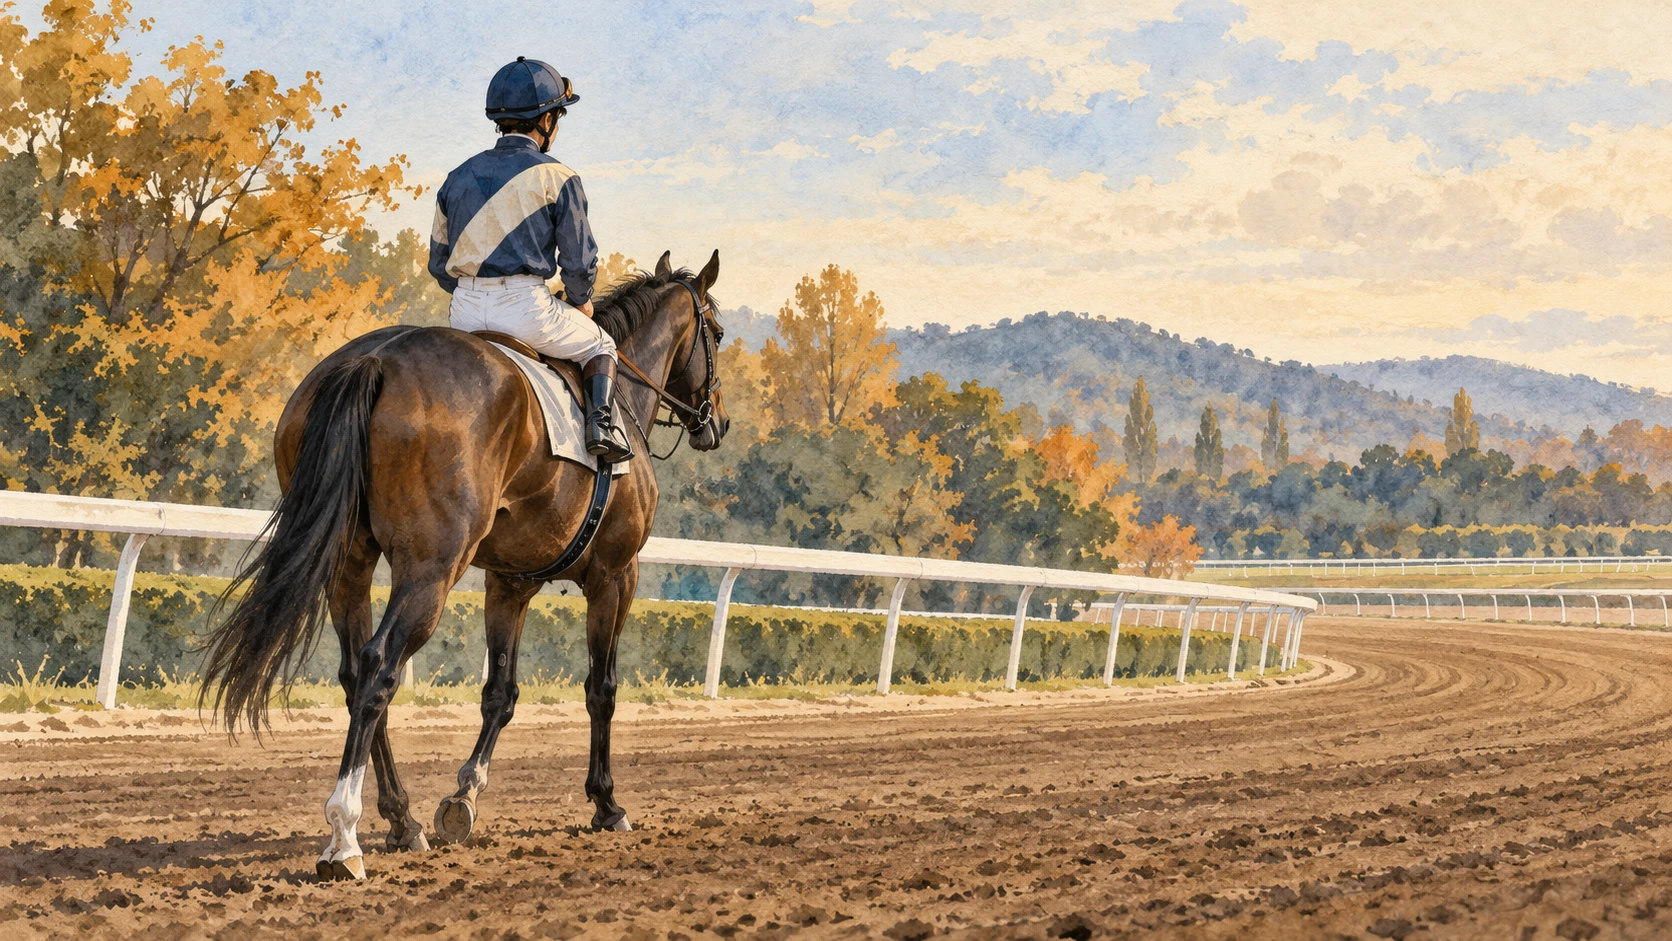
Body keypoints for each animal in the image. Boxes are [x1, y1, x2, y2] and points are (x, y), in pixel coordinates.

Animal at [198, 251, 728, 881]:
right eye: (718, 333)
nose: (717, 422)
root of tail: (374, 358)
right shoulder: (616, 574)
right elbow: (602, 688)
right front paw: (607, 804)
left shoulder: (510, 581)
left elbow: (500, 691)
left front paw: (463, 797)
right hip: (432, 567)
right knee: (379, 666)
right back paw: (344, 838)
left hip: (349, 565)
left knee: (354, 674)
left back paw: (402, 821)